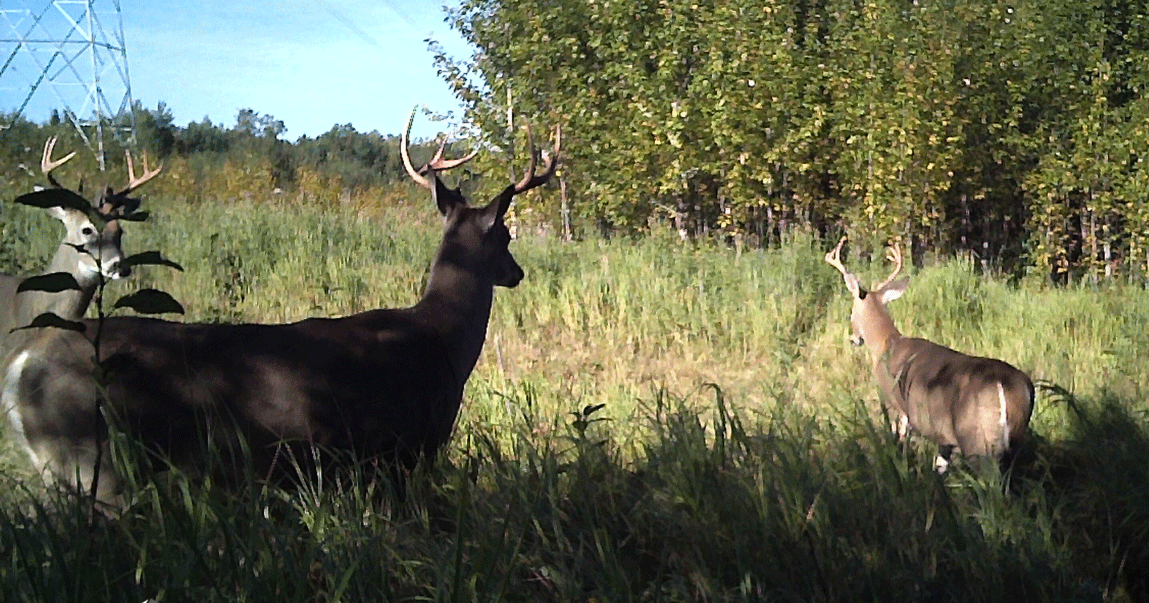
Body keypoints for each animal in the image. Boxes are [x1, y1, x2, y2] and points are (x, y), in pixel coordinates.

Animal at [0, 110, 556, 505]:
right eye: (506, 235)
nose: (517, 273)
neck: (441, 340)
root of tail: (23, 365)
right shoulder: (406, 451)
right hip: (94, 461)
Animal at [822, 237, 1038, 473]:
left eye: (850, 312)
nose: (854, 338)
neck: (886, 346)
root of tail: (1007, 388)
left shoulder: (899, 408)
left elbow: (902, 448)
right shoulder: (943, 438)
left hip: (978, 442)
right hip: (1013, 443)